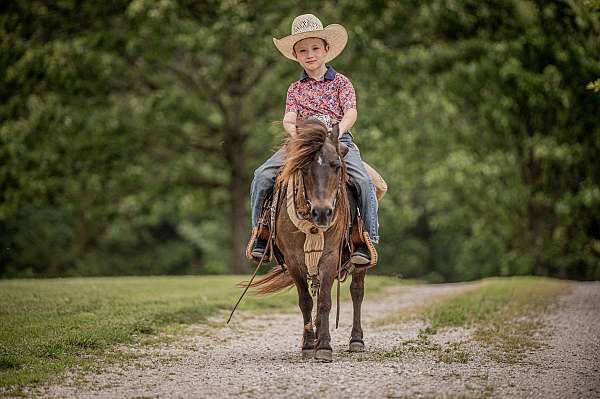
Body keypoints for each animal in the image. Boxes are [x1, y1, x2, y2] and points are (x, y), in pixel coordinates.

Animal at [247, 119, 366, 362]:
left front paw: (324, 346)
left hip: (358, 261)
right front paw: (310, 345)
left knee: (357, 291)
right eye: (303, 167)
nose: (322, 213)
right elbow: (306, 302)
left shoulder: (330, 256)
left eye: (336, 165)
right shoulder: (294, 260)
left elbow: (325, 301)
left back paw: (356, 340)